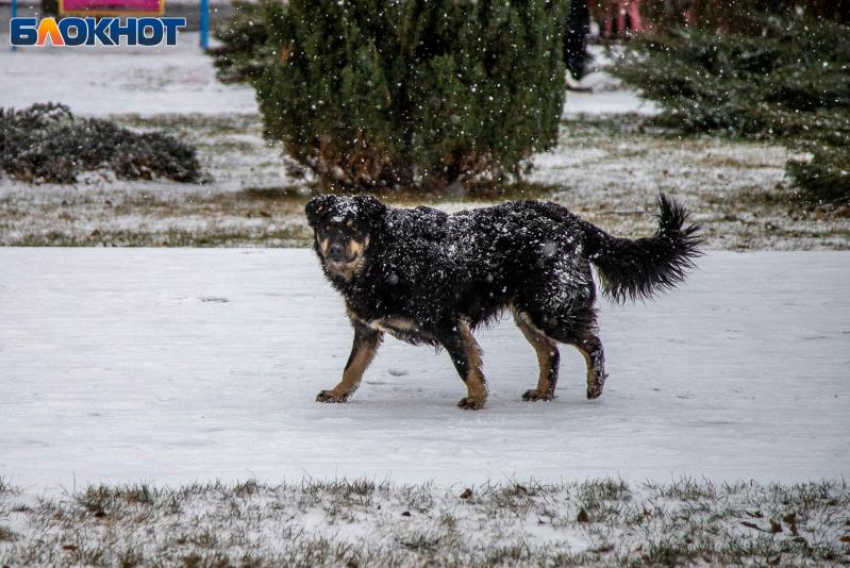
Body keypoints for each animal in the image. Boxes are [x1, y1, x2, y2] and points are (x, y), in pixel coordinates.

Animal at [304, 195, 696, 408]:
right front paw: (338, 393)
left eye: (354, 227)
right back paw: (543, 393)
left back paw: (594, 385)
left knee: (591, 343)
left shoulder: (447, 322)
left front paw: (477, 399)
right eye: (327, 227)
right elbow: (352, 367)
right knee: (550, 353)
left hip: (550, 309)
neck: (385, 255)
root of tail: (571, 220)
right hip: (527, 311)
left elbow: (466, 365)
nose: (335, 250)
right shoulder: (366, 328)